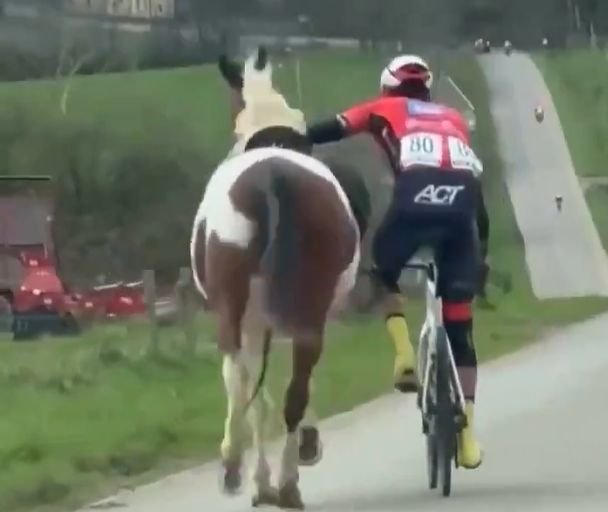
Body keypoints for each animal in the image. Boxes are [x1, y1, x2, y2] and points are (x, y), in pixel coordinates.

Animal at [190, 47, 368, 508]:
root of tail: (273, 177)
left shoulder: (255, 322)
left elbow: (254, 392)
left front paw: (258, 477)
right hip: (302, 314)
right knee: (290, 391)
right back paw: (283, 478)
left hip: (239, 310)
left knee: (243, 382)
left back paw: (247, 473)